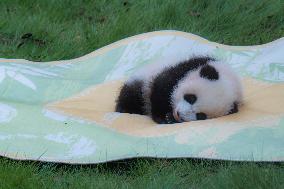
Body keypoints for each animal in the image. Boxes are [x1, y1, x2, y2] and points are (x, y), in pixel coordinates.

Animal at [114, 56, 243, 124]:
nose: (179, 115)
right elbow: (162, 87)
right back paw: (124, 109)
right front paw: (162, 117)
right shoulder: (185, 68)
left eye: (201, 116)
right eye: (191, 98)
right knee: (132, 95)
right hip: (141, 80)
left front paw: (169, 118)